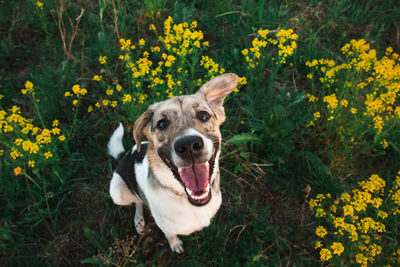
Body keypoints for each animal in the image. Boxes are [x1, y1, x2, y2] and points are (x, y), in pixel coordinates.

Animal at [107, 73, 238, 253]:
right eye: (162, 123)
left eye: (203, 115)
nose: (189, 145)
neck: (188, 201)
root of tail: (123, 156)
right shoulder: (166, 227)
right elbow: (170, 235)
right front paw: (175, 245)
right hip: (117, 192)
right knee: (137, 200)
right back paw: (139, 220)